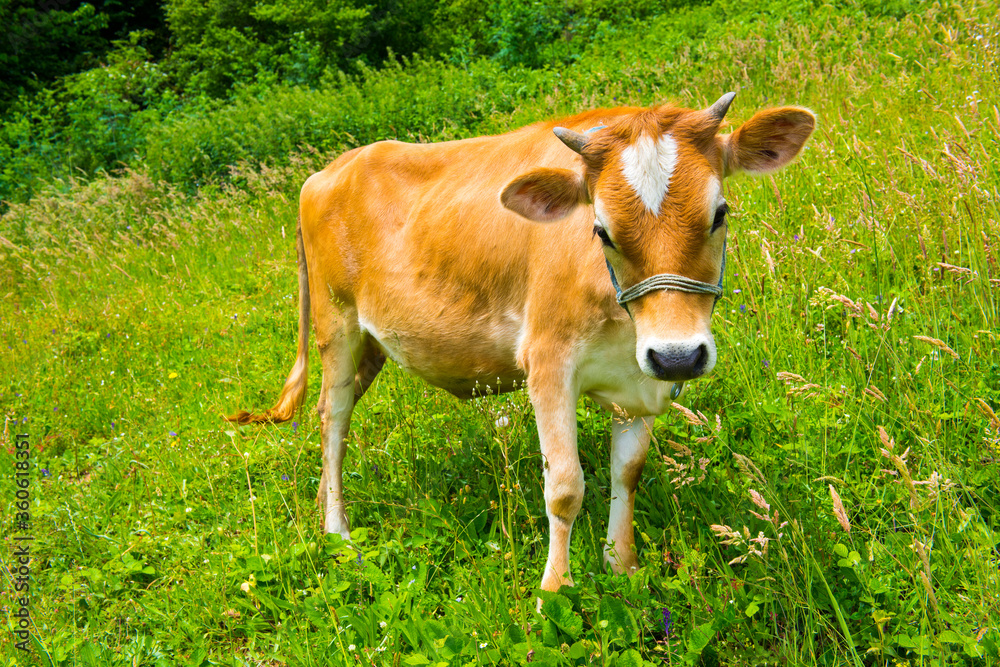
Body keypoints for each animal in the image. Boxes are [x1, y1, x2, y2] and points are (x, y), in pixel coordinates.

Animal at [229, 93, 815, 592]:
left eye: (719, 214)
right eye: (600, 229)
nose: (678, 355)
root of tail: (327, 170)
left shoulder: (639, 375)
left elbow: (627, 471)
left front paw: (621, 565)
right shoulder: (549, 361)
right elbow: (566, 487)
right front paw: (555, 590)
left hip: (373, 342)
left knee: (333, 411)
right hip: (337, 323)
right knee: (333, 419)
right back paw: (338, 531)